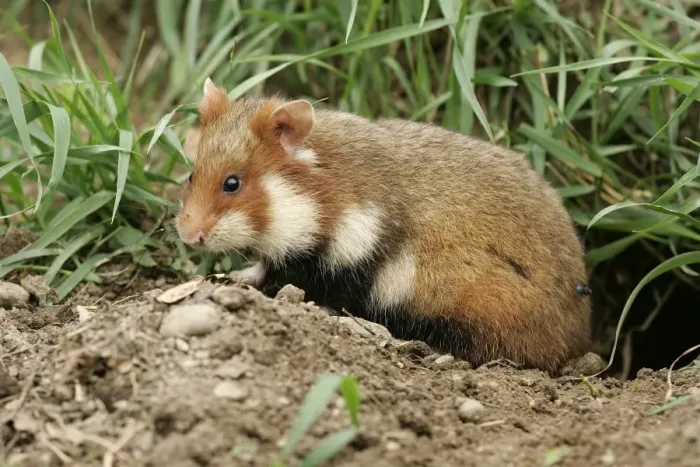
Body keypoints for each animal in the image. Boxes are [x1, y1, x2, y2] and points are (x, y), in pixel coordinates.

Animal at [176, 78, 592, 372]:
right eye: (192, 175)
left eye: (232, 183)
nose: (188, 235)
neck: (326, 199)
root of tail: (579, 339)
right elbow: (266, 266)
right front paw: (237, 278)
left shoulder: (356, 257)